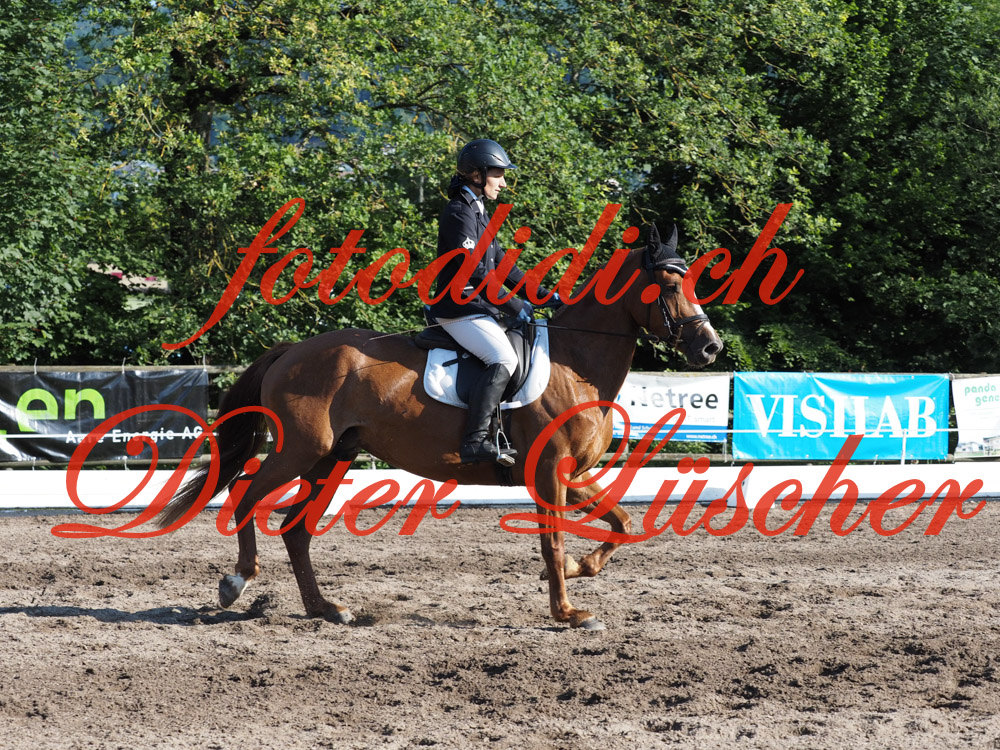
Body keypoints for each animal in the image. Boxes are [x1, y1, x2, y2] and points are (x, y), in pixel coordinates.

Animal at [158, 223, 723, 630]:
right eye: (670, 284)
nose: (710, 347)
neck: (574, 362)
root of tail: (292, 350)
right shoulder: (549, 472)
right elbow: (554, 540)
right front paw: (568, 612)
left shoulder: (572, 472)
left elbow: (623, 523)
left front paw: (578, 573)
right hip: (301, 449)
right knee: (246, 495)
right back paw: (236, 582)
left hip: (331, 458)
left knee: (296, 529)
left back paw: (327, 609)